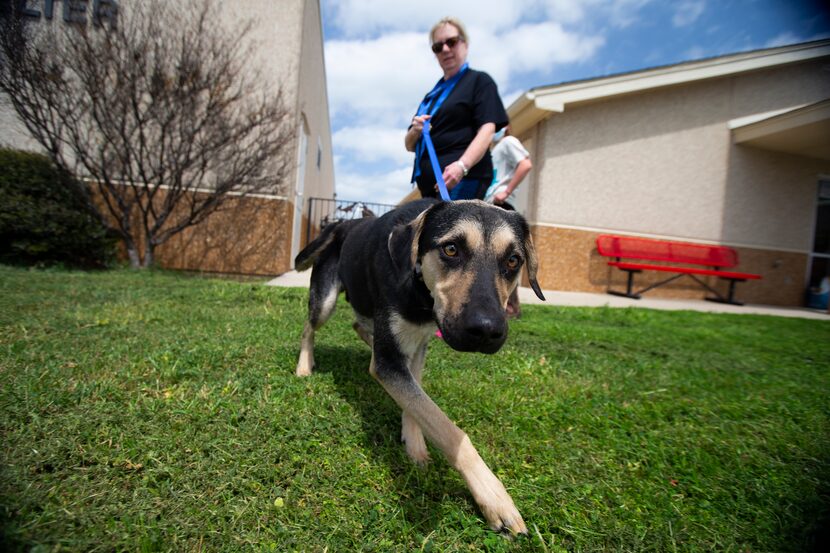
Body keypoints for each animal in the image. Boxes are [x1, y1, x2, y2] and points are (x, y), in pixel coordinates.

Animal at [292, 196, 544, 532]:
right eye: (451, 249)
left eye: (514, 260)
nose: (487, 330)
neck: (419, 287)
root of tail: (344, 224)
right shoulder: (389, 361)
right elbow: (448, 429)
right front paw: (494, 498)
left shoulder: (418, 343)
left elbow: (418, 401)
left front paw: (413, 443)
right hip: (325, 300)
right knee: (309, 328)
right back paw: (304, 366)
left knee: (360, 327)